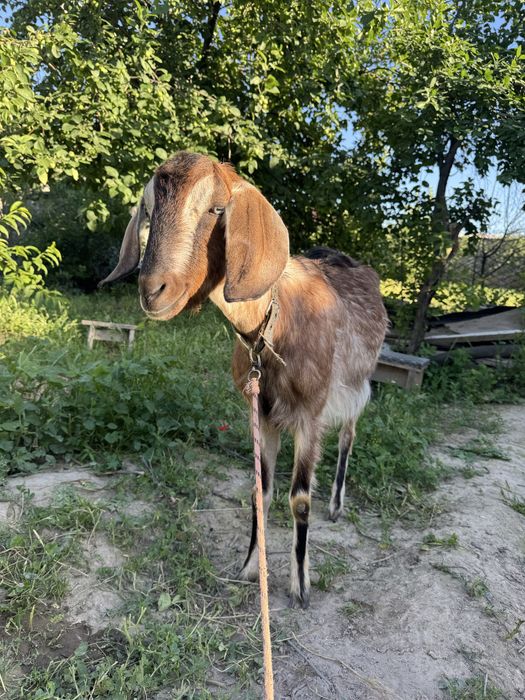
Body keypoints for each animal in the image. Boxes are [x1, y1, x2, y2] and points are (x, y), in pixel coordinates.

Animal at [101, 151, 388, 608]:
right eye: (148, 209)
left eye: (217, 209)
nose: (152, 289)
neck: (274, 325)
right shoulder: (262, 412)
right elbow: (260, 491)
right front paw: (252, 567)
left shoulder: (310, 414)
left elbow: (299, 499)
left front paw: (300, 584)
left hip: (358, 382)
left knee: (349, 434)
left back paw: (337, 504)